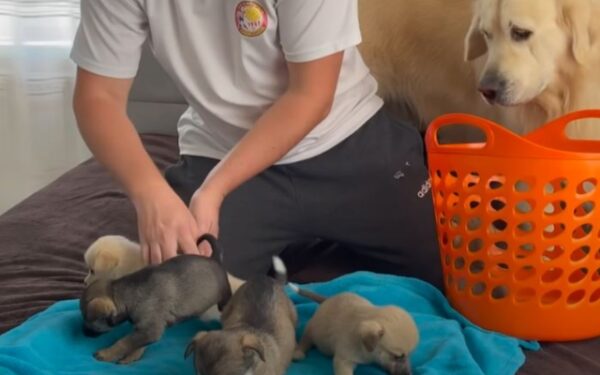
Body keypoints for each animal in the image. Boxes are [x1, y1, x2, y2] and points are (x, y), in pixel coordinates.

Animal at [79, 235, 230, 364]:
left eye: (87, 317)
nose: (83, 333)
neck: (125, 294)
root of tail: (215, 258)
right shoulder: (144, 331)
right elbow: (136, 344)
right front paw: (132, 356)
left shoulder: (149, 330)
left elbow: (124, 342)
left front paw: (107, 353)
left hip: (224, 299)